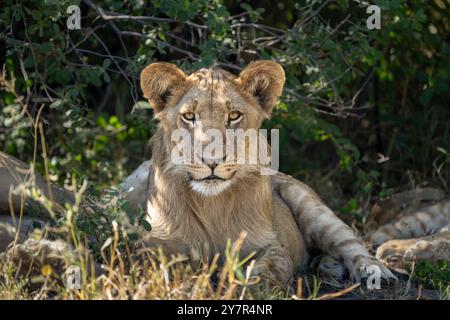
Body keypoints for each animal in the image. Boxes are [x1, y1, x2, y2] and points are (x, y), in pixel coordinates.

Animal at [0, 61, 400, 286]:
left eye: (233, 116)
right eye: (189, 116)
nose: (211, 158)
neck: (212, 206)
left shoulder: (269, 246)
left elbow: (270, 269)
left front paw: (244, 285)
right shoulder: (155, 242)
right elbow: (157, 263)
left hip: (310, 206)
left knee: (350, 242)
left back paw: (373, 274)